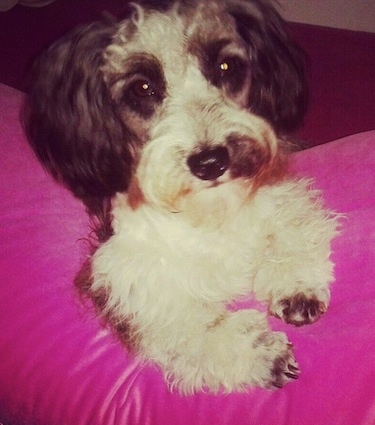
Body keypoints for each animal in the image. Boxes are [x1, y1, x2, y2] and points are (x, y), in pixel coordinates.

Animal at [25, 0, 340, 392]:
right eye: (143, 87)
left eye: (225, 67)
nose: (211, 162)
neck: (206, 213)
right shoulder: (126, 276)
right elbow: (192, 326)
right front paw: (257, 354)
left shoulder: (277, 190)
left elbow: (291, 226)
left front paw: (296, 284)